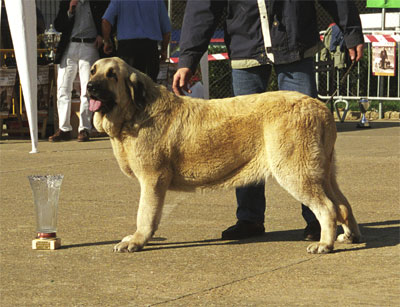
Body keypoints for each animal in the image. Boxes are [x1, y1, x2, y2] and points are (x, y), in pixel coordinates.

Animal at [86, 57, 360, 255]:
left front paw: (137, 240)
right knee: (343, 204)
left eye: (112, 75)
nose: (89, 87)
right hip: (323, 173)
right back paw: (349, 236)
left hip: (295, 172)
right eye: (92, 71)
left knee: (328, 208)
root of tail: (320, 108)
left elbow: (145, 214)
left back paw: (324, 244)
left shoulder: (152, 180)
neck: (136, 112)